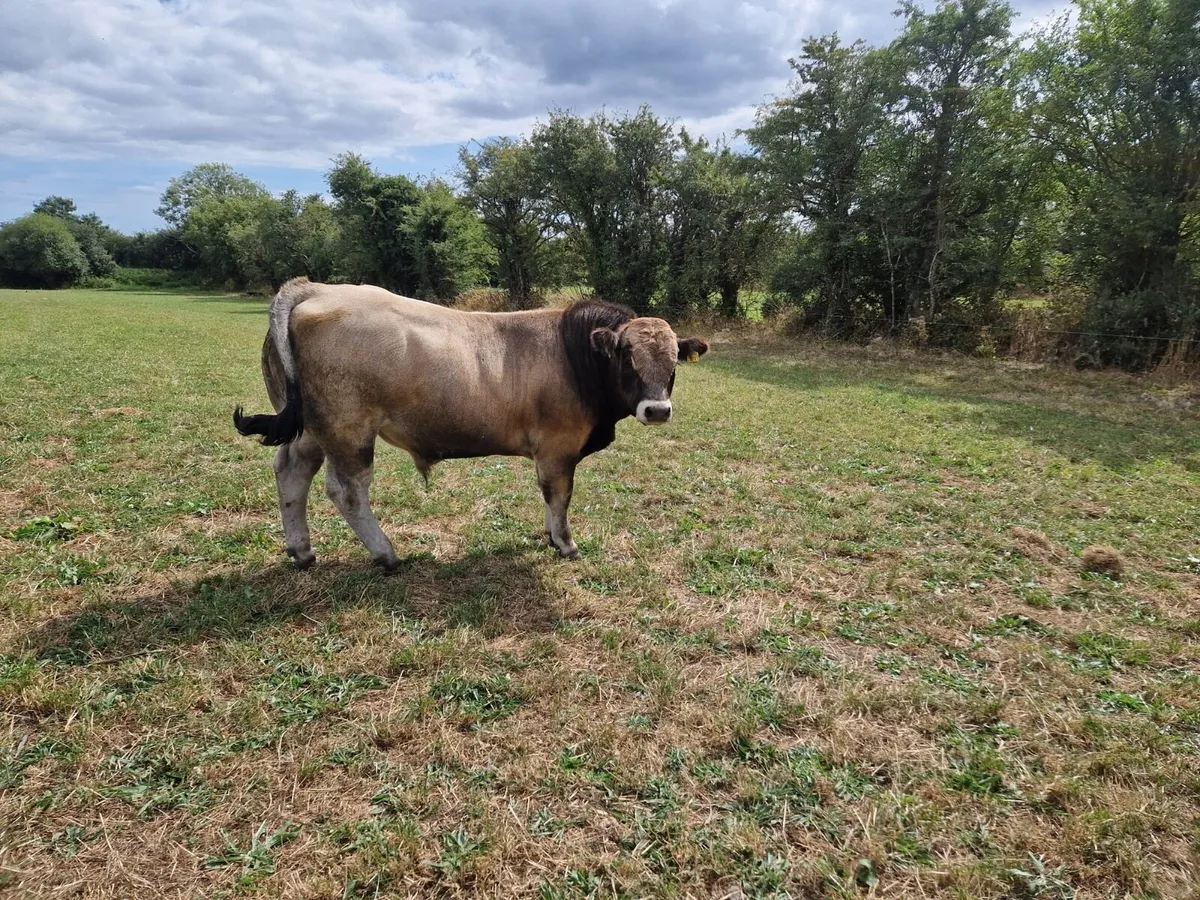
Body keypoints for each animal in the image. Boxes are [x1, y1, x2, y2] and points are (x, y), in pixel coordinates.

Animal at [233, 278, 709, 570]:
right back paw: (386, 554)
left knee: (292, 472)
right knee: (347, 490)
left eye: (673, 364)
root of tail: (314, 287)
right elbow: (559, 497)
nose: (657, 410)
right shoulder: (557, 448)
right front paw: (564, 543)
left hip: (312, 429)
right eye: (627, 359)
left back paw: (302, 551)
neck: (574, 356)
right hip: (348, 429)